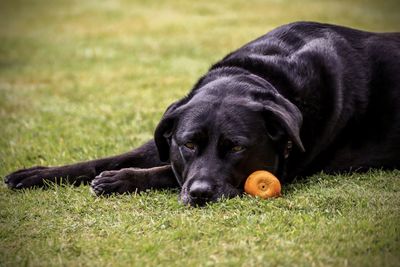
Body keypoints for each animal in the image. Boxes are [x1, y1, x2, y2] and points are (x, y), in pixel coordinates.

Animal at [3, 22, 400, 207]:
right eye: (189, 144)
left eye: (237, 148)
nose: (200, 194)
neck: (264, 75)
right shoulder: (165, 140)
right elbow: (107, 158)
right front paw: (35, 174)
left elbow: (166, 171)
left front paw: (118, 180)